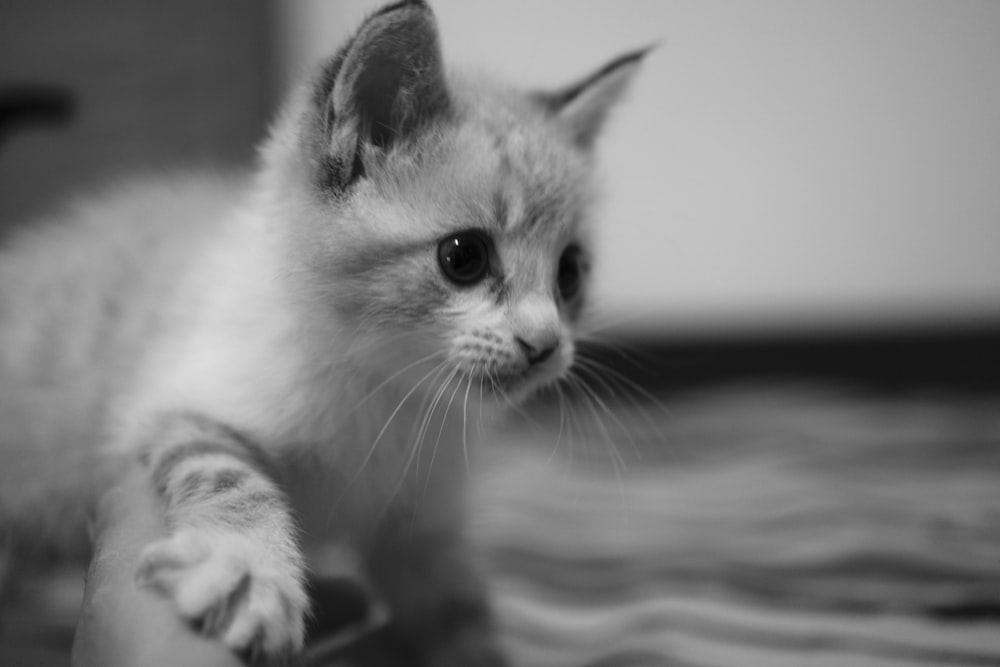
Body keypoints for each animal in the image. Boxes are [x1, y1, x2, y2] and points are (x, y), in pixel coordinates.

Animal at [0, 0, 644, 664]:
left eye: (570, 273)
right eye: (464, 256)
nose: (545, 345)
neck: (388, 391)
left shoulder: (422, 526)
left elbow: (460, 618)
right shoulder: (178, 402)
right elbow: (228, 474)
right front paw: (246, 570)